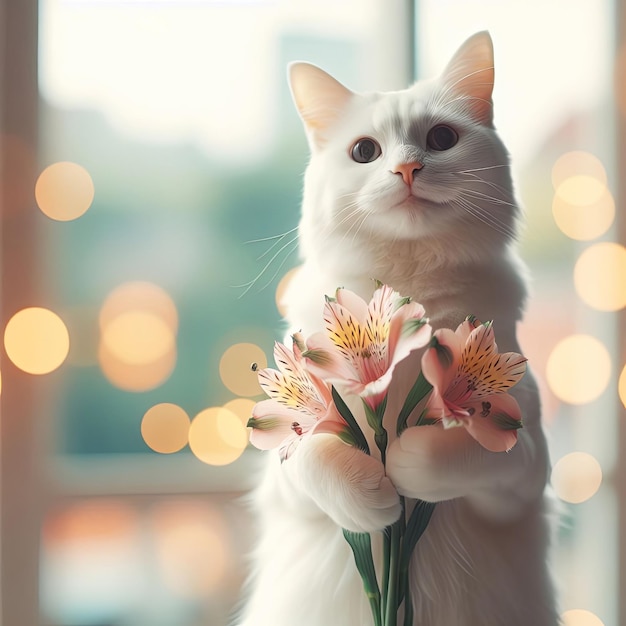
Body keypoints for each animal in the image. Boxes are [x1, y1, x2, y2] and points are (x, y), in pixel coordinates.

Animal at [233, 31, 556, 624]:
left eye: (441, 139)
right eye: (365, 151)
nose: (407, 169)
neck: (408, 299)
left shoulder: (525, 465)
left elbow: (455, 453)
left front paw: (406, 464)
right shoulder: (283, 476)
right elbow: (314, 457)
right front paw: (373, 499)